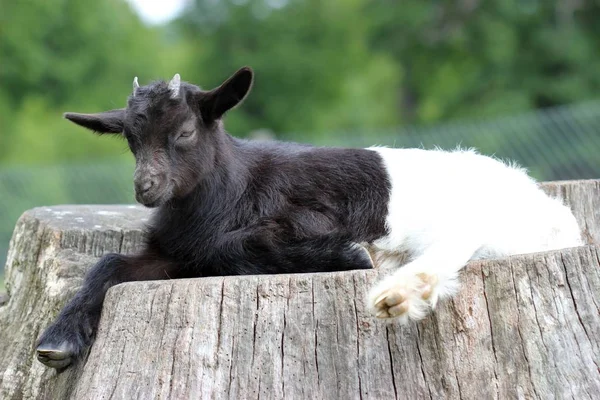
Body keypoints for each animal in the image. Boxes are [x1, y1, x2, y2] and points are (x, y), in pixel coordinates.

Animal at [35, 66, 584, 368]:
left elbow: (232, 245)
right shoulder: (173, 253)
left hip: (481, 221)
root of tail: (551, 208)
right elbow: (108, 263)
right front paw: (56, 342)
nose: (145, 188)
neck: (230, 192)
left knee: (455, 243)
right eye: (129, 138)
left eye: (186, 131)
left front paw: (351, 254)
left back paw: (398, 291)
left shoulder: (307, 215)